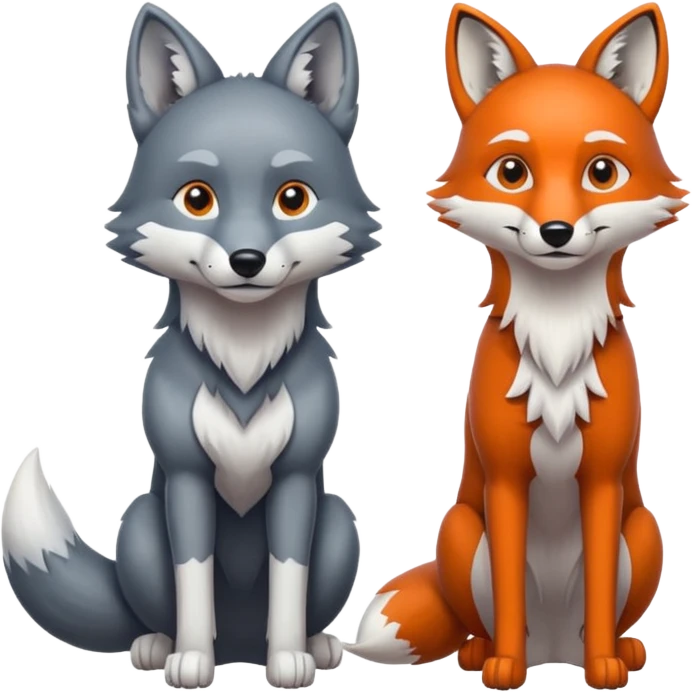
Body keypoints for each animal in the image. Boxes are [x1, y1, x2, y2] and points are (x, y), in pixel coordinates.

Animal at [0, 3, 381, 690]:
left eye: (293, 198)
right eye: (197, 198)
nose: (247, 260)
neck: (244, 363)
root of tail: (241, 645)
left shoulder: (295, 479)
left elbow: (289, 577)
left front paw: (289, 658)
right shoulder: (184, 478)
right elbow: (193, 578)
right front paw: (192, 660)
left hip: (340, 521)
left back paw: (312, 646)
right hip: (137, 525)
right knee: (156, 610)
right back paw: (160, 644)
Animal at [344, 3, 686, 690]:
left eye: (601, 172)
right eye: (512, 172)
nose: (556, 231)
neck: (555, 345)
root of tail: (554, 644)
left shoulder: (602, 482)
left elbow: (600, 590)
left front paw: (603, 667)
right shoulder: (504, 481)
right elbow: (506, 591)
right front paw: (506, 666)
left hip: (644, 535)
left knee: (601, 613)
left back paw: (614, 650)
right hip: (459, 533)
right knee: (489, 615)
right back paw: (487, 652)